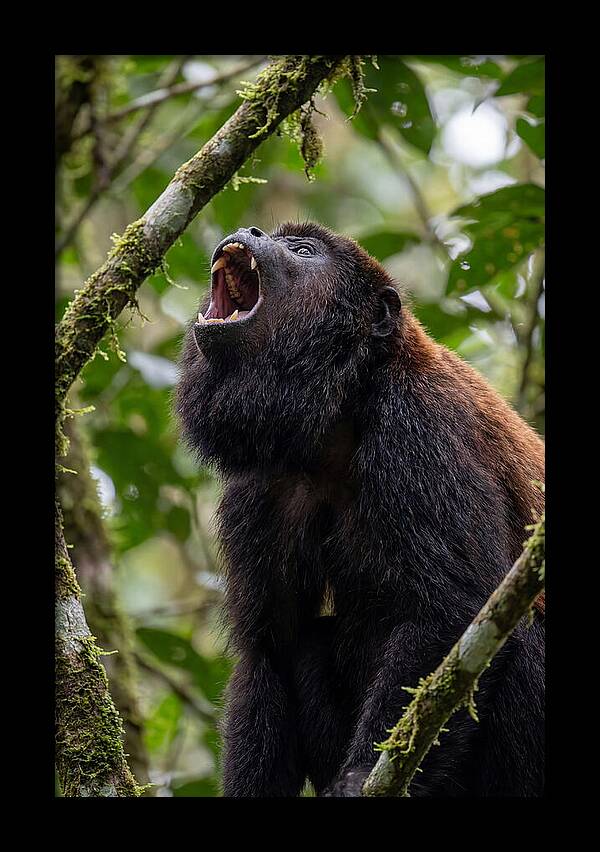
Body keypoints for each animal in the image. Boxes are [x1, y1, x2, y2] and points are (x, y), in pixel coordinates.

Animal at [175, 222, 544, 797]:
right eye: (274, 235)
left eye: (303, 251)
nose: (251, 229)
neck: (343, 411)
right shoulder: (260, 484)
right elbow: (269, 650)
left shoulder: (418, 428)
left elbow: (456, 609)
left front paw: (357, 778)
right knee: (307, 643)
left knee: (523, 634)